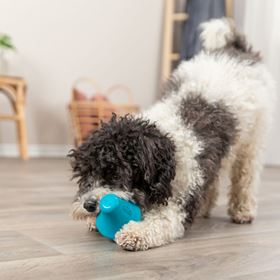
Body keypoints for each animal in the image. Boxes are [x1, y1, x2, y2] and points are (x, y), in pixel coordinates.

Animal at [68, 19, 276, 252]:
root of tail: (235, 49)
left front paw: (134, 232)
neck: (169, 150)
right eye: (86, 174)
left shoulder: (179, 203)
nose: (88, 204)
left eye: (114, 174)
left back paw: (243, 211)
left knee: (246, 177)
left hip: (252, 140)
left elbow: (160, 222)